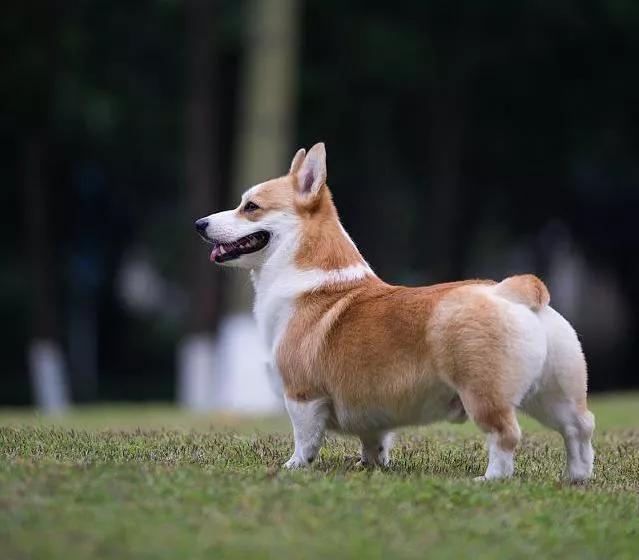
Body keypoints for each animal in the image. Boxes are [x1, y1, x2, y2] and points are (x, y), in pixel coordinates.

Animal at [195, 142, 596, 480]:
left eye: (250, 207)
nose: (200, 224)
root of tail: (513, 291)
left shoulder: (302, 396)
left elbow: (305, 438)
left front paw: (294, 466)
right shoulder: (371, 414)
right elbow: (374, 439)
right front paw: (370, 465)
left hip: (484, 394)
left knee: (506, 435)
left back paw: (491, 479)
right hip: (554, 392)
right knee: (579, 427)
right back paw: (577, 478)